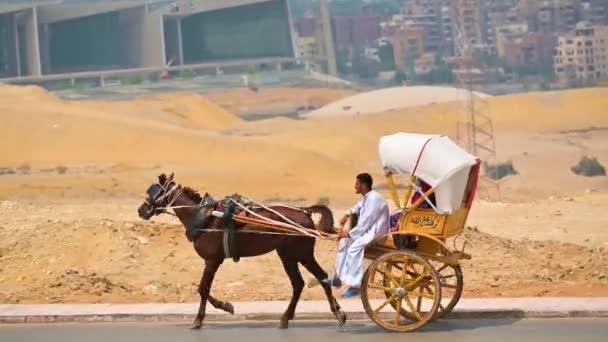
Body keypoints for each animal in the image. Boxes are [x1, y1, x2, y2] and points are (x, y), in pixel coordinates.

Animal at [138, 174, 346, 328]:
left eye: (153, 194)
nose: (141, 210)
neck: (204, 217)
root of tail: (305, 212)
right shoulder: (213, 260)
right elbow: (204, 289)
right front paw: (225, 306)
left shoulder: (212, 260)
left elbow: (203, 288)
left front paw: (203, 317)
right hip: (295, 255)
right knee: (311, 280)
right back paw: (325, 314)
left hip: (294, 254)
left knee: (308, 281)